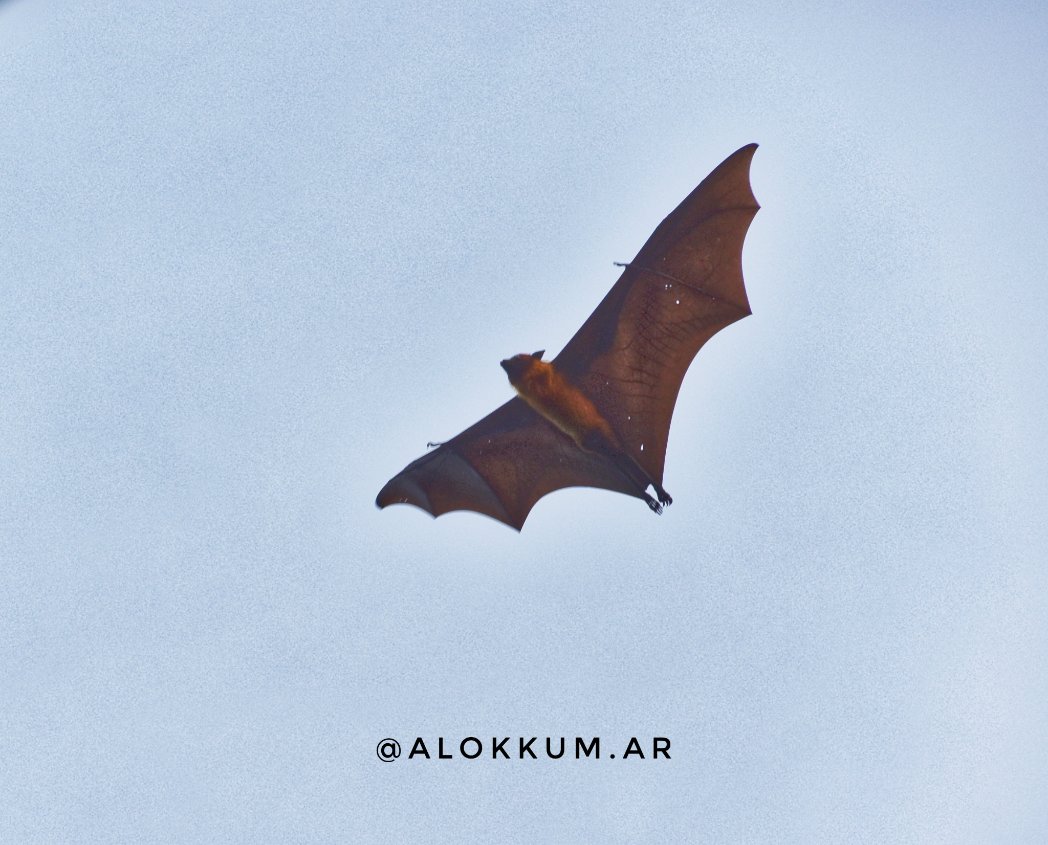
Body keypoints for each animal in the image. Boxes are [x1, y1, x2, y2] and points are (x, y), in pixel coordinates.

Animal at [499, 351, 673, 514]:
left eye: (517, 358)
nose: (502, 361)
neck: (532, 379)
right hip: (599, 450)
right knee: (619, 464)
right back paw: (651, 500)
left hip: (606, 431)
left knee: (625, 453)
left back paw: (661, 493)